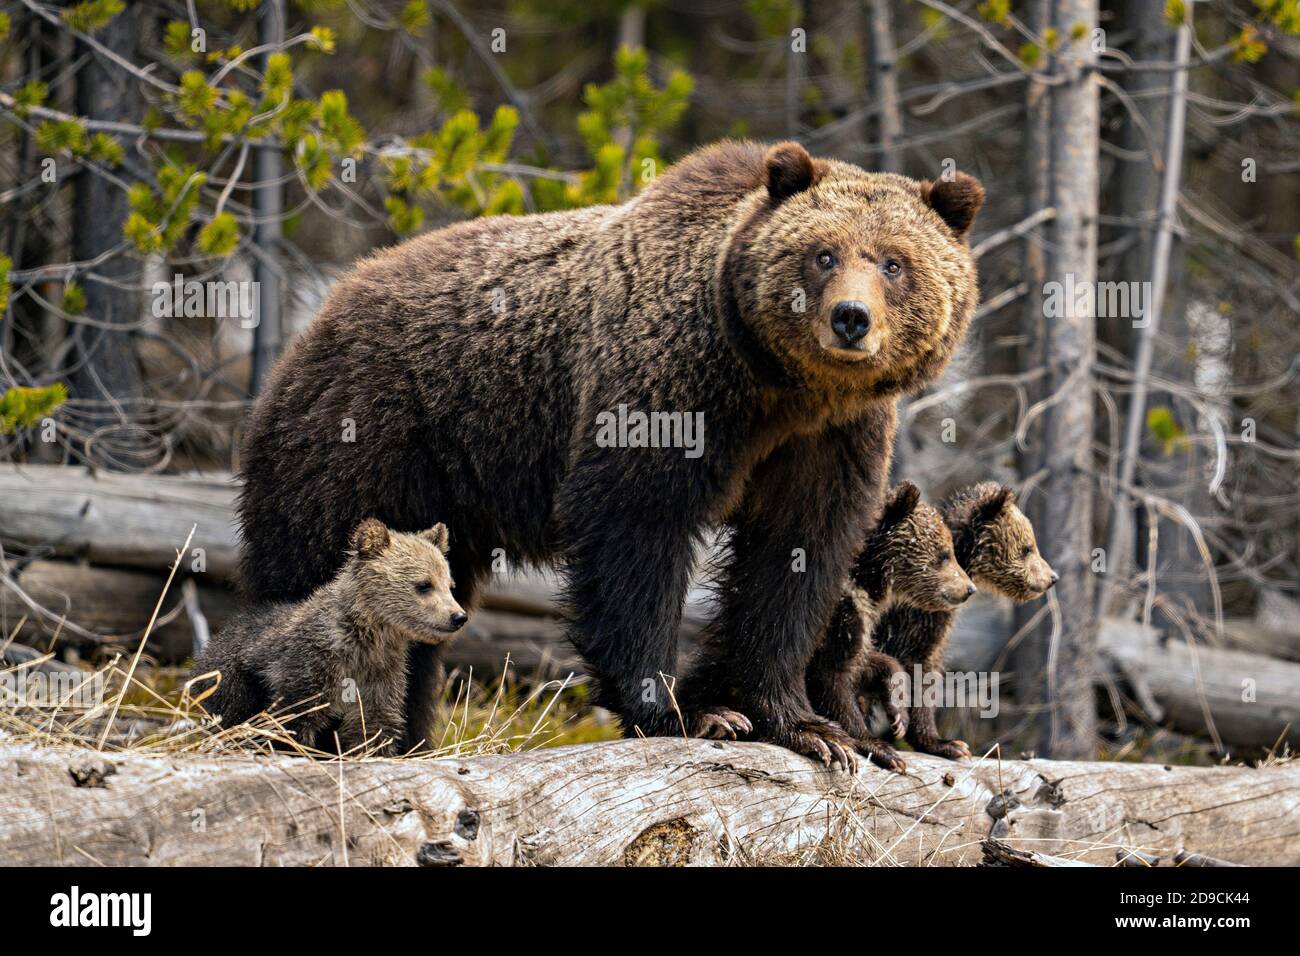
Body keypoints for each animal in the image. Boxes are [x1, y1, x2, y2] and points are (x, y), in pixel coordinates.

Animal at [192, 519, 468, 755]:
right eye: (424, 584)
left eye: (449, 584)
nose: (458, 616)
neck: (366, 640)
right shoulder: (308, 667)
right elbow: (292, 720)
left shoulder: (381, 676)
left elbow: (374, 728)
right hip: (232, 679)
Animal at [804, 482, 975, 772]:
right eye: (944, 555)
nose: (969, 588)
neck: (865, 578)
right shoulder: (838, 613)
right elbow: (831, 676)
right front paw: (881, 748)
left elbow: (871, 661)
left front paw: (902, 717)